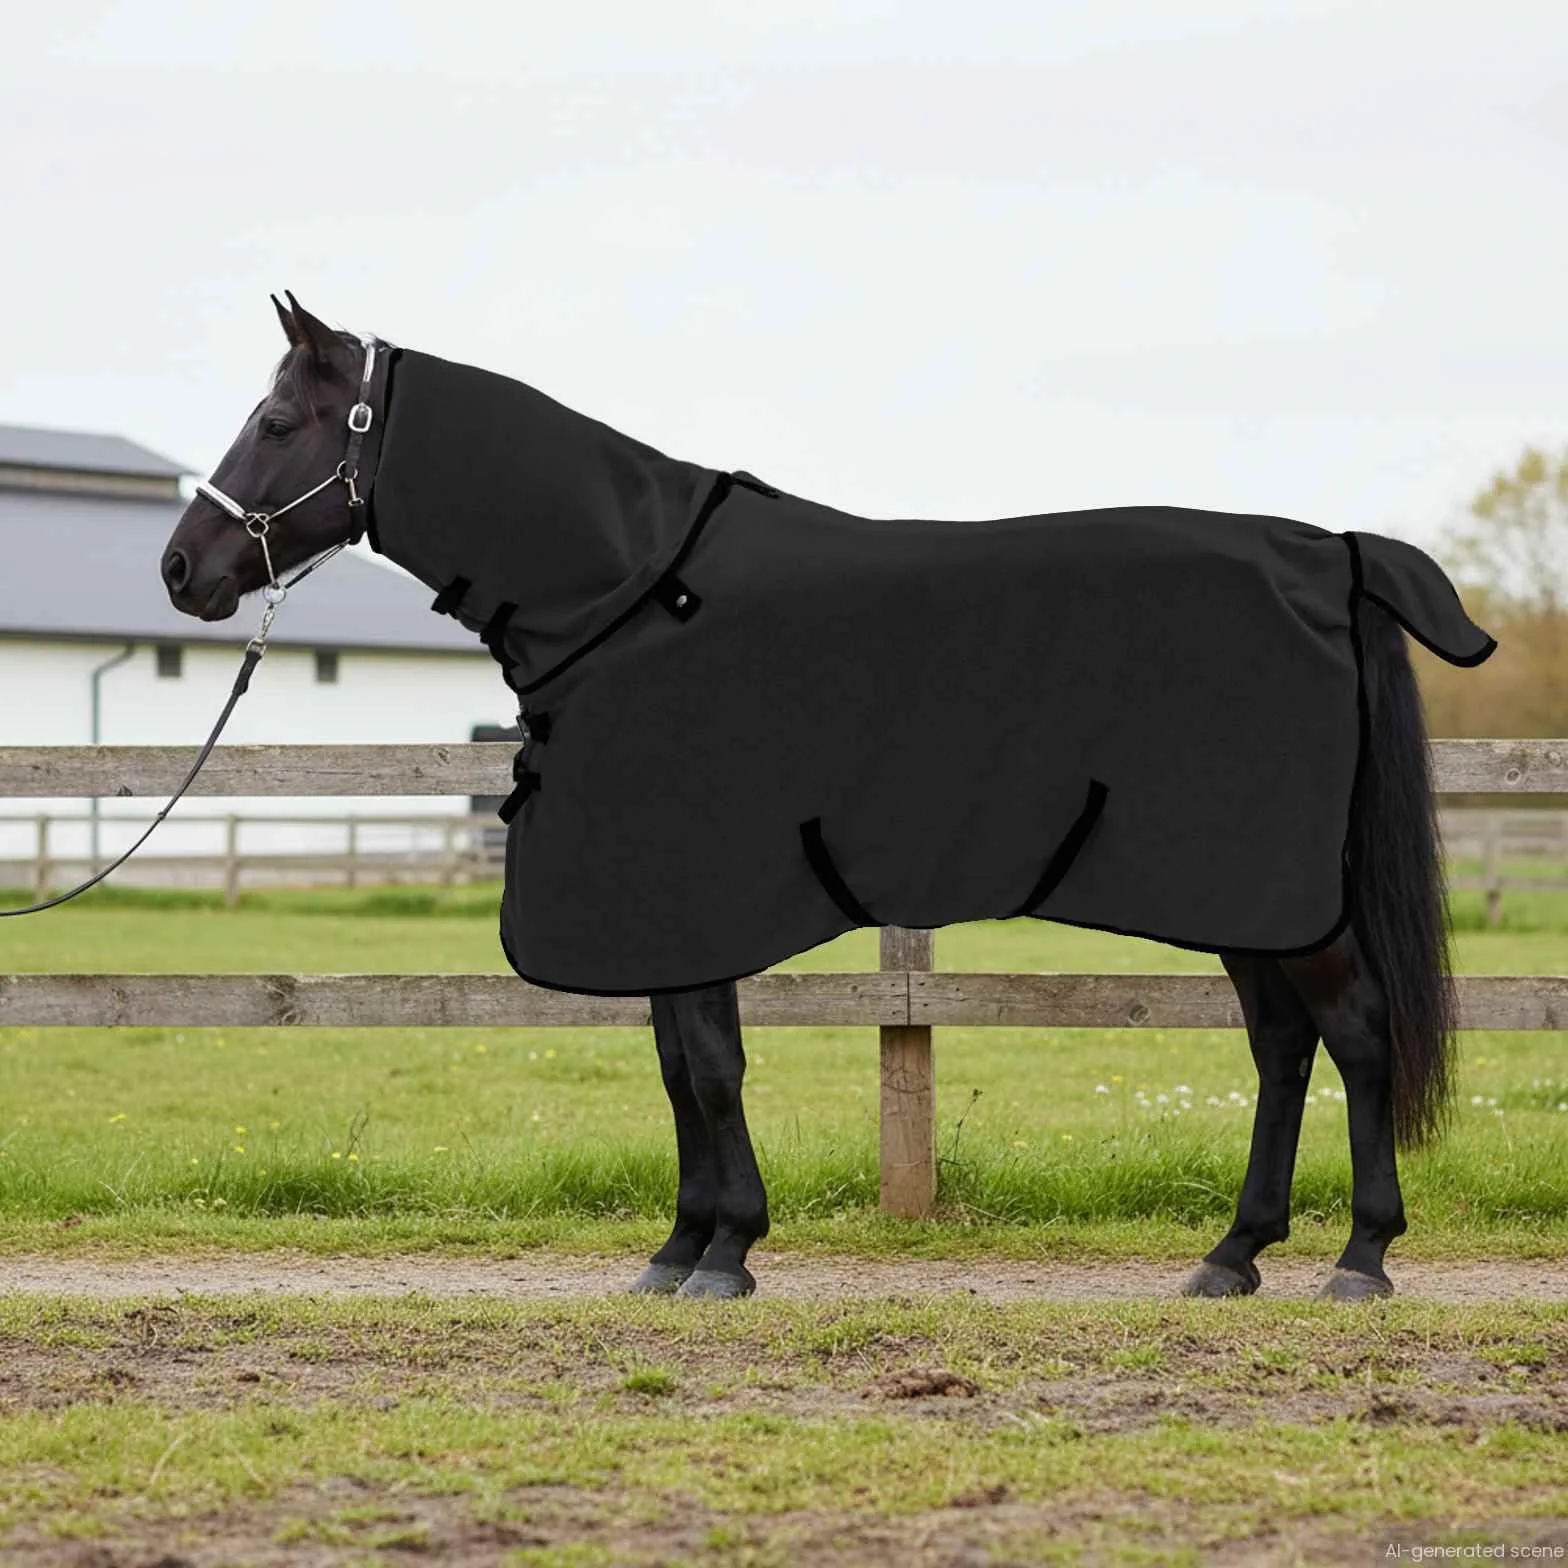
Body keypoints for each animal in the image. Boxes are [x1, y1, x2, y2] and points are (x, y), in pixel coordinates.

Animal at [161, 294, 1481, 1302]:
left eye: (275, 419)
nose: (182, 569)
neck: (634, 595)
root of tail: (1329, 555)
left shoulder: (692, 891)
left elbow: (710, 1067)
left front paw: (726, 1252)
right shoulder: (653, 903)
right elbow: (678, 1067)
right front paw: (677, 1248)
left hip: (1273, 894)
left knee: (1355, 1034)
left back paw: (1358, 1257)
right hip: (1244, 899)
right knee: (1281, 1045)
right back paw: (1232, 1253)